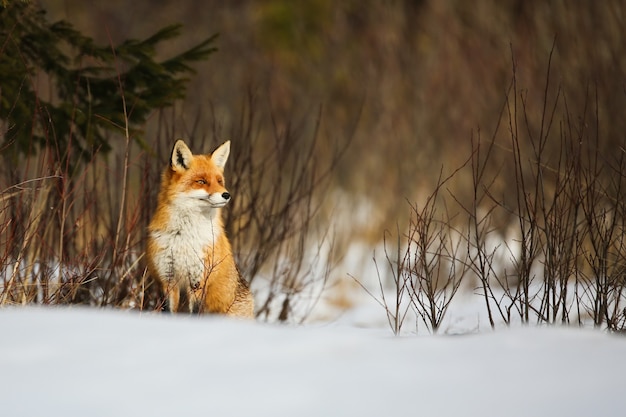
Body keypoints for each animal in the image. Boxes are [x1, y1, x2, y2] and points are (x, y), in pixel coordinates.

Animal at [145, 138, 252, 316]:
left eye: (219, 181)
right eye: (201, 181)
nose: (227, 195)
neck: (185, 236)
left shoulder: (198, 281)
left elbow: (194, 312)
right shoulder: (167, 279)